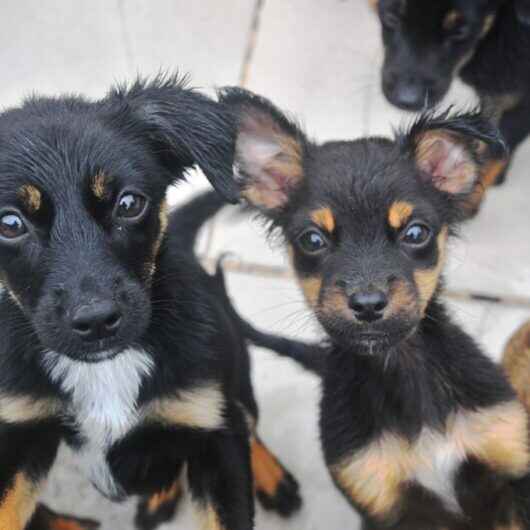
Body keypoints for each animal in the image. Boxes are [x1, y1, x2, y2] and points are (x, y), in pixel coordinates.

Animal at [0, 74, 302, 528]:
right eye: (9, 224)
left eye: (129, 203)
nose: (96, 321)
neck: (107, 369)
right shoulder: (18, 432)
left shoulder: (212, 426)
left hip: (234, 367)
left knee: (248, 421)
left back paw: (272, 476)